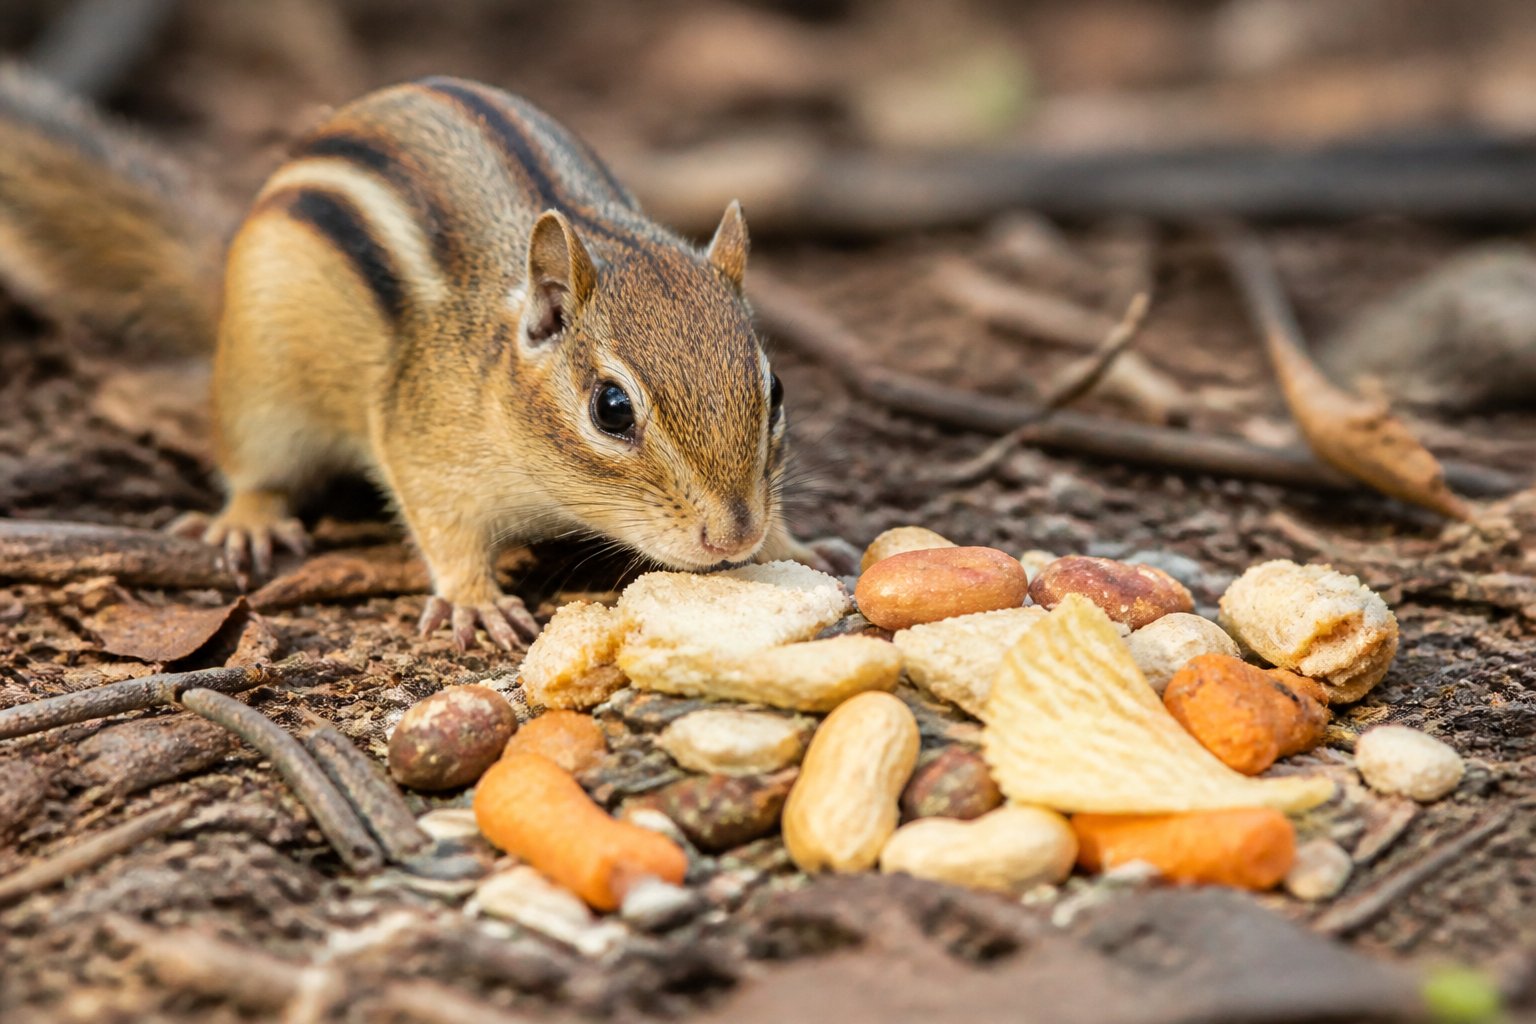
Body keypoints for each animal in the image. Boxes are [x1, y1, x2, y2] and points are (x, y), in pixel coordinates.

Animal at [0, 65, 843, 649]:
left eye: (775, 390)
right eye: (611, 408)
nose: (733, 536)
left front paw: (795, 543)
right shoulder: (424, 446)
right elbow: (443, 528)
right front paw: (474, 597)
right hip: (259, 394)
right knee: (252, 468)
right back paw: (251, 519)